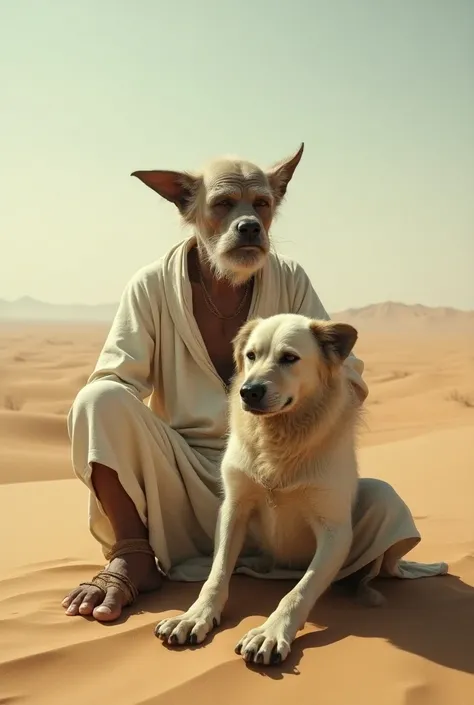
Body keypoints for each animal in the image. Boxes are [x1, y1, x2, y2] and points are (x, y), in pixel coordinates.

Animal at [156, 314, 362, 664]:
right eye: (251, 355)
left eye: (289, 358)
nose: (248, 391)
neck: (277, 437)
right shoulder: (234, 507)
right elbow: (216, 574)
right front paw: (195, 616)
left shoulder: (336, 531)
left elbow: (300, 590)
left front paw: (270, 632)